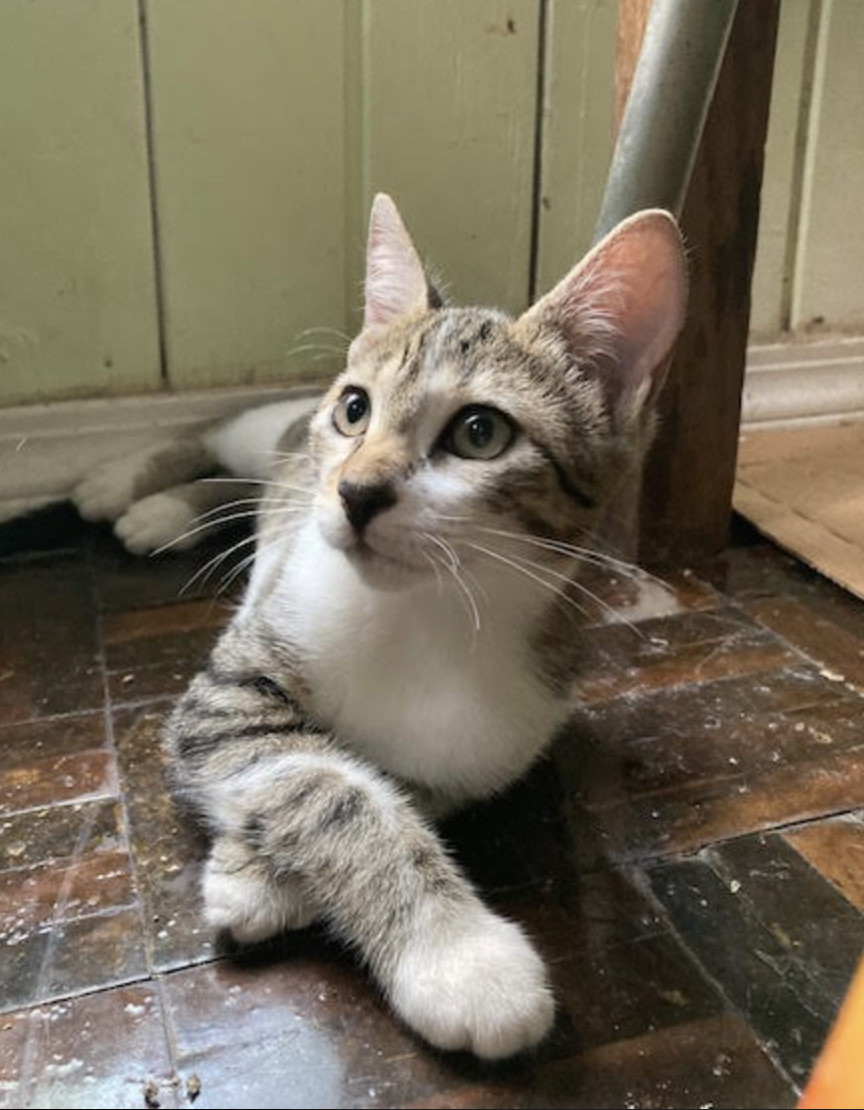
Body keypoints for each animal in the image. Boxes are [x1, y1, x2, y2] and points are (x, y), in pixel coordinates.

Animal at [84, 193, 688, 1056]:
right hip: (276, 433)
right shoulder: (231, 689)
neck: (421, 614)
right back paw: (127, 486)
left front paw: (257, 876)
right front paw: (461, 958)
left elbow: (389, 785)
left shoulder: (485, 748)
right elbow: (331, 788)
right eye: (356, 410)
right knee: (221, 435)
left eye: (480, 433)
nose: (354, 492)